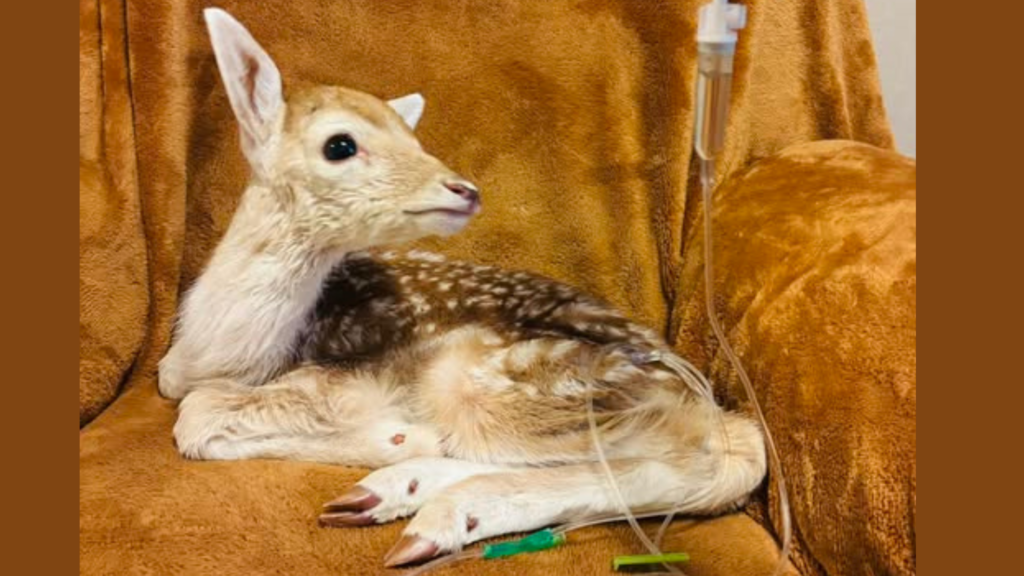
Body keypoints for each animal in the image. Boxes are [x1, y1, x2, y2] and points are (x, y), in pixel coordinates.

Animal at [158, 8, 767, 568]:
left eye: (413, 137)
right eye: (339, 145)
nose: (464, 189)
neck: (230, 354)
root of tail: (695, 389)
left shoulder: (341, 380)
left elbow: (197, 413)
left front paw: (395, 437)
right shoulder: (176, 368)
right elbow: (175, 389)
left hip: (495, 383)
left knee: (717, 456)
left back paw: (438, 509)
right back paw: (392, 492)